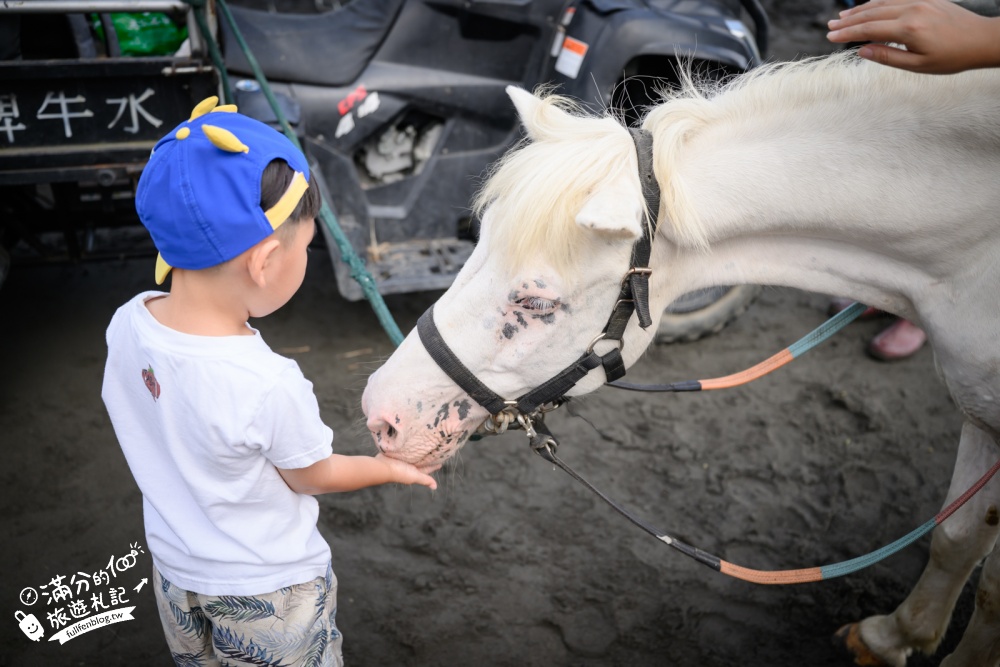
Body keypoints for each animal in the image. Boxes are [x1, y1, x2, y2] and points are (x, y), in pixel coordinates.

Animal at [361, 51, 1000, 666]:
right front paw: (892, 637)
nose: (380, 415)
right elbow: (956, 537)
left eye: (537, 301)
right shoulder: (980, 417)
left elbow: (986, 581)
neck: (965, 255)